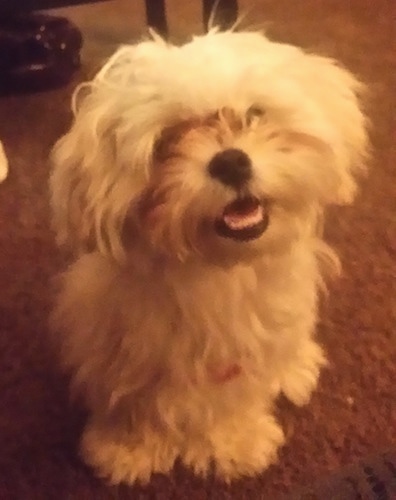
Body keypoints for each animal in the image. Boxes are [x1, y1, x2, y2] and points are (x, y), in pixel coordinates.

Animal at [49, 30, 368, 484]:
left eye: (253, 114)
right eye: (167, 139)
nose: (231, 161)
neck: (215, 269)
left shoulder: (244, 344)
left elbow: (234, 395)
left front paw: (234, 442)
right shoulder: (127, 339)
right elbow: (131, 394)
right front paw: (128, 448)